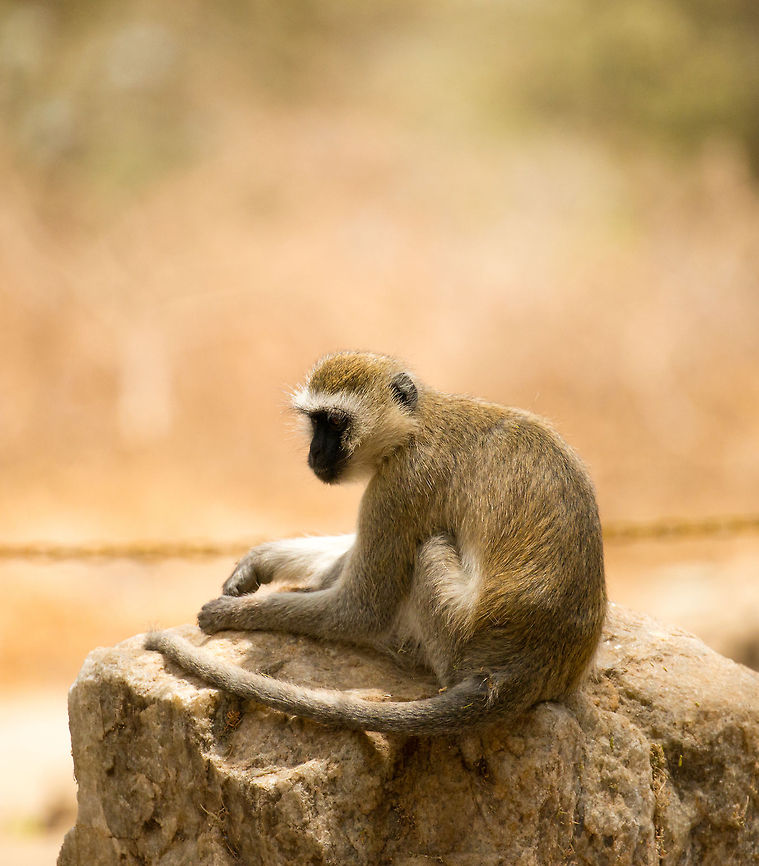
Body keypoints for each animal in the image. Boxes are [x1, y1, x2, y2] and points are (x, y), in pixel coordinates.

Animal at [146, 351, 606, 735]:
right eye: (316, 422)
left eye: (335, 422)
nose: (314, 453)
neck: (416, 426)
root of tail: (521, 671)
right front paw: (260, 560)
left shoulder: (399, 485)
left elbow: (360, 610)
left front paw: (233, 614)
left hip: (454, 638)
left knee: (429, 548)